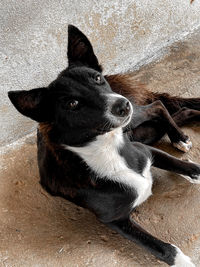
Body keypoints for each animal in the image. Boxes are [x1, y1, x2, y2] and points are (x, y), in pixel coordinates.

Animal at [8, 24, 200, 266]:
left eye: (96, 78)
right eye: (72, 103)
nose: (122, 106)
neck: (109, 150)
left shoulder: (146, 151)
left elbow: (187, 166)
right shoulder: (114, 221)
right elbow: (161, 248)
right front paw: (181, 260)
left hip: (136, 121)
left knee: (158, 106)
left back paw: (179, 136)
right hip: (141, 129)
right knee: (168, 110)